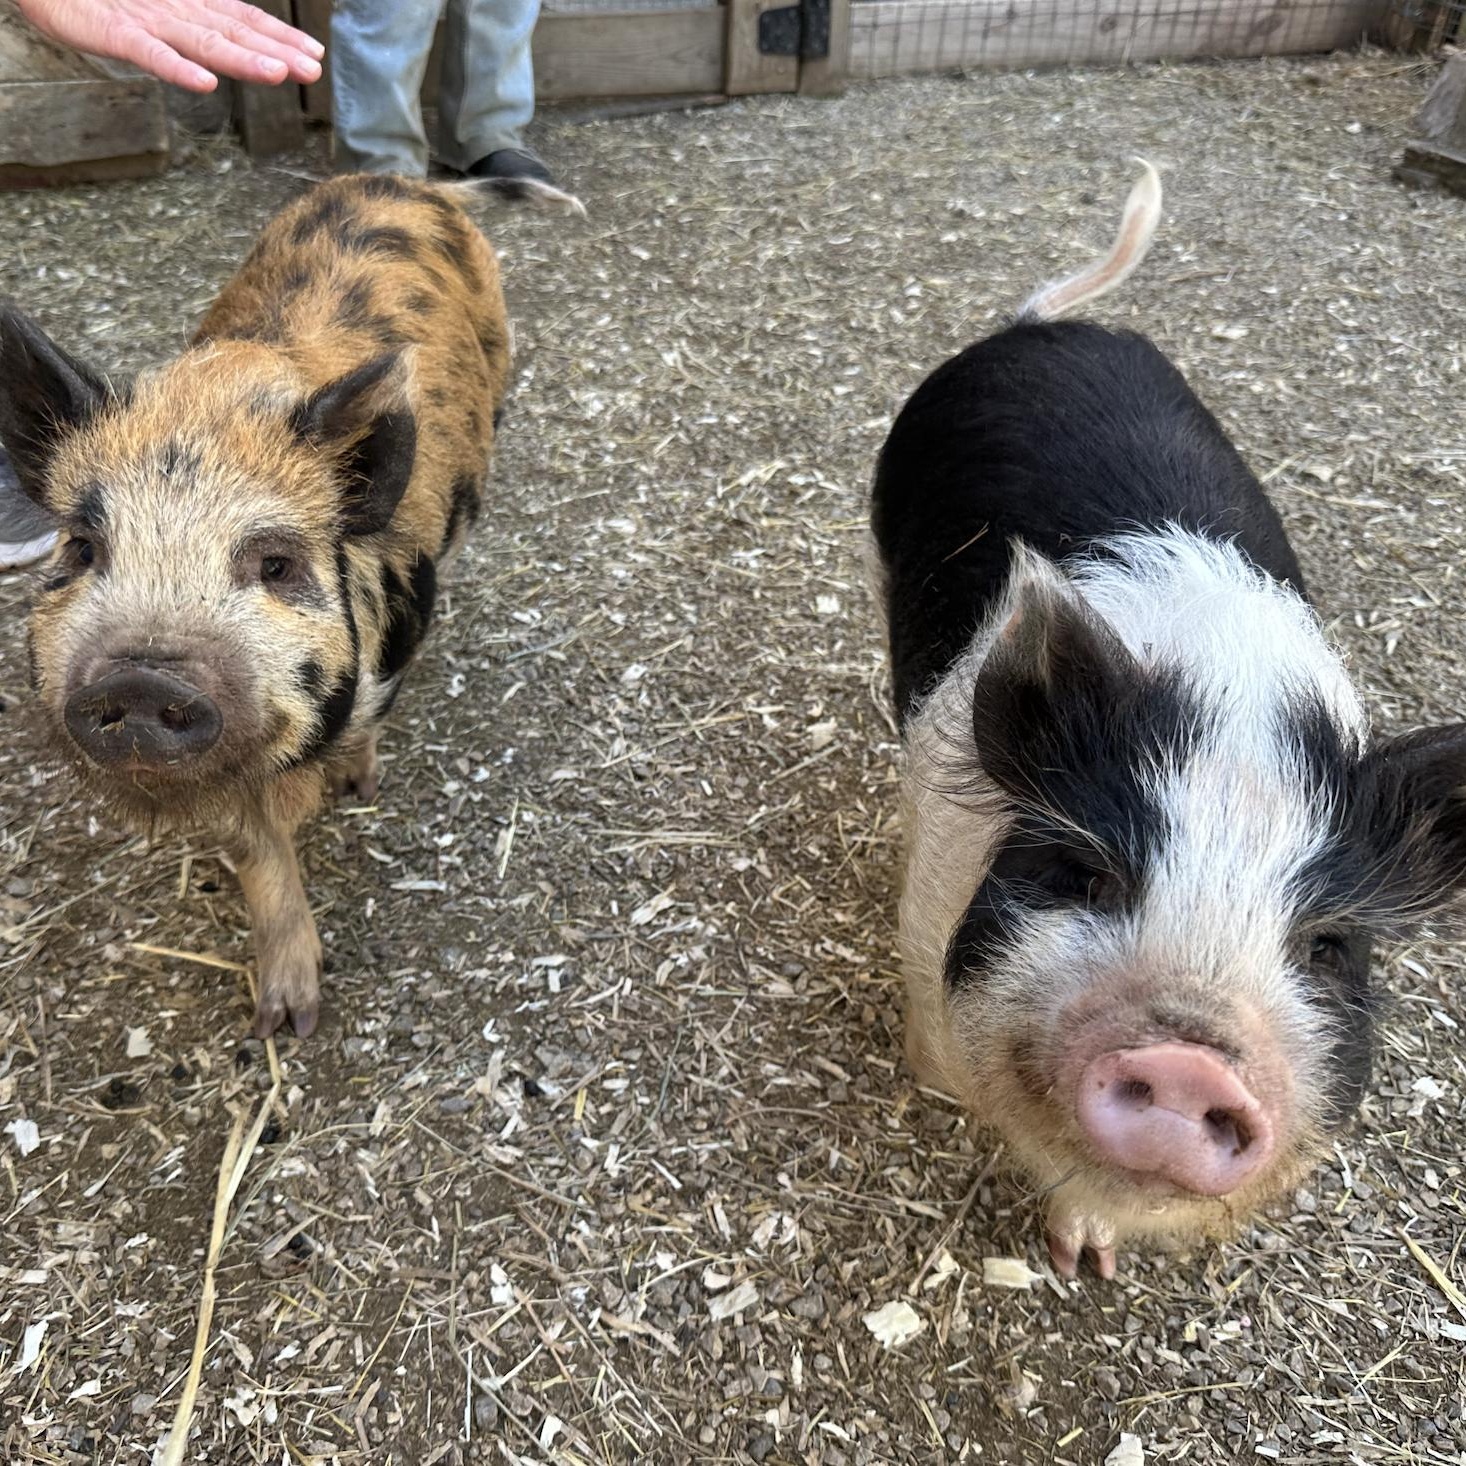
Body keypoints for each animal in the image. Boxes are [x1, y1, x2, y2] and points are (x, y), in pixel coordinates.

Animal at [0, 172, 578, 1039]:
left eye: (275, 564)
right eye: (82, 549)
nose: (141, 676)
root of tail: (412, 182)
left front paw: (355, 790)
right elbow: (257, 854)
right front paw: (286, 1021)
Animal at [872, 161, 1466, 1278]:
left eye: (1327, 946)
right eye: (1085, 874)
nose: (1192, 1062)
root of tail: (1042, 325)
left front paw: (1088, 1260)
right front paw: (928, 1088)